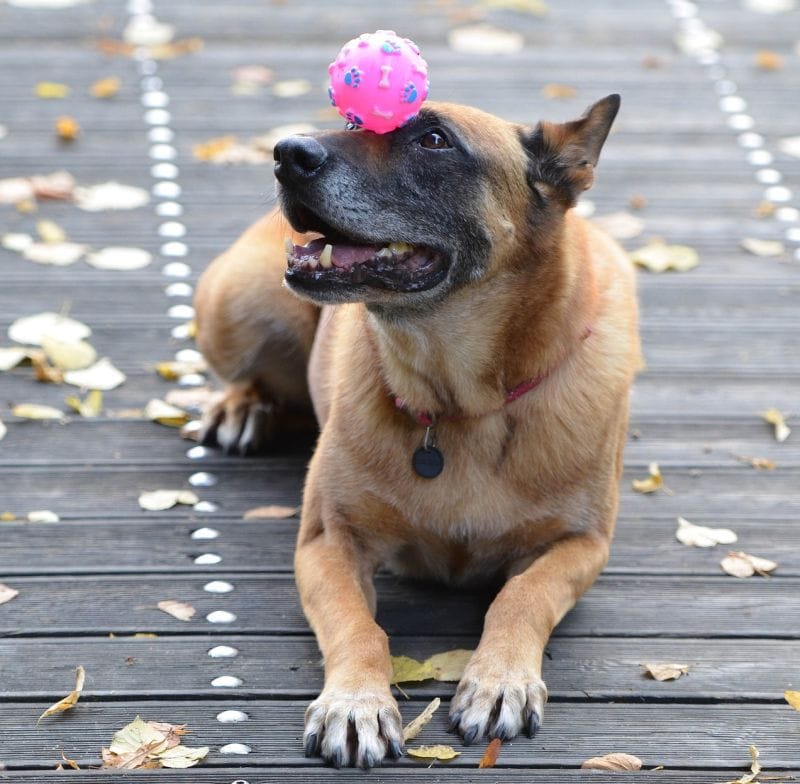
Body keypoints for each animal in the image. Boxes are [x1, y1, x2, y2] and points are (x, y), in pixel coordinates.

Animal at [197, 95, 640, 768]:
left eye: (434, 140)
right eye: (353, 123)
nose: (287, 153)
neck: (463, 402)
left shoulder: (581, 545)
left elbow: (523, 596)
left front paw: (500, 679)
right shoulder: (329, 541)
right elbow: (358, 626)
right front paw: (355, 702)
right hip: (236, 304)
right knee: (258, 376)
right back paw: (243, 406)